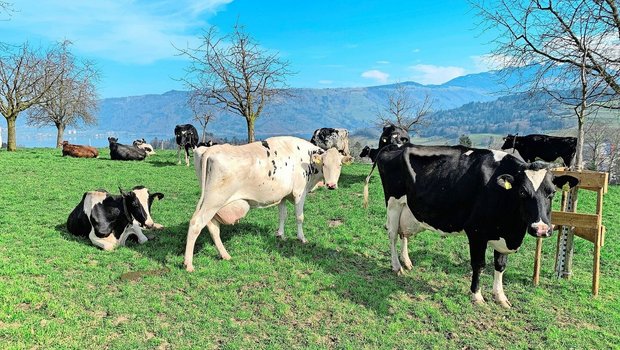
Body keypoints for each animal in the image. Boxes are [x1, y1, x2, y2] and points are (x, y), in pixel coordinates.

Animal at [184, 136, 354, 270]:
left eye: (339, 165)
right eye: (324, 164)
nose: (331, 185)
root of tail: (211, 149)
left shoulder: (283, 195)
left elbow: (282, 215)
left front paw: (280, 235)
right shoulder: (300, 192)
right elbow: (299, 217)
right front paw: (302, 238)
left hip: (212, 202)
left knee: (212, 226)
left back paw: (225, 255)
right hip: (214, 200)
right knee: (196, 224)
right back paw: (189, 264)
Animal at [360, 144, 580, 308]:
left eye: (552, 193)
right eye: (522, 193)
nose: (541, 229)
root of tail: (396, 145)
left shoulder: (504, 234)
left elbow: (500, 266)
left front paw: (500, 297)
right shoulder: (476, 232)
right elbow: (479, 264)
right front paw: (477, 295)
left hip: (410, 209)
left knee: (403, 233)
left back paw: (406, 261)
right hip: (393, 202)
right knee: (392, 234)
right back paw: (397, 266)